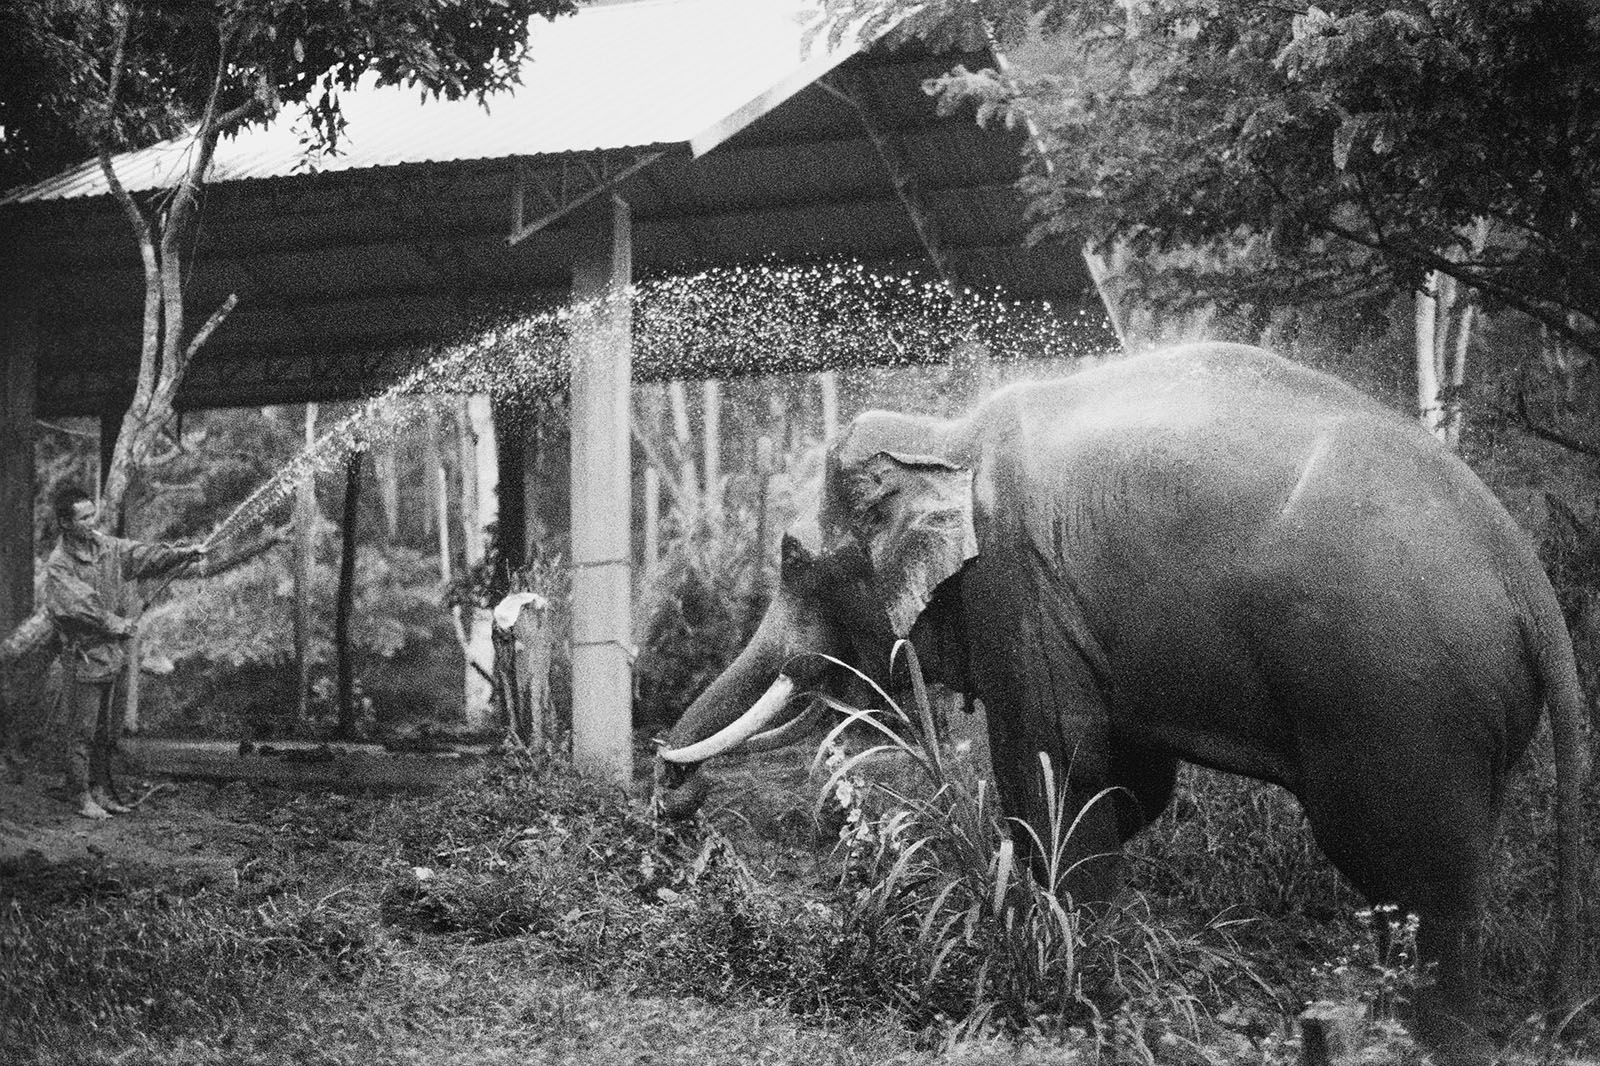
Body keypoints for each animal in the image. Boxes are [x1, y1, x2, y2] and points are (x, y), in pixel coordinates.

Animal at [654, 342, 1585, 1062]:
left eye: (794, 558)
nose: (675, 795)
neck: (947, 436)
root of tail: (1528, 575)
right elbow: (1127, 785)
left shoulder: (1019, 588)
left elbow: (1058, 771)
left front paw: (1076, 990)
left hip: (1403, 704)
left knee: (1416, 881)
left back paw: (1427, 1043)